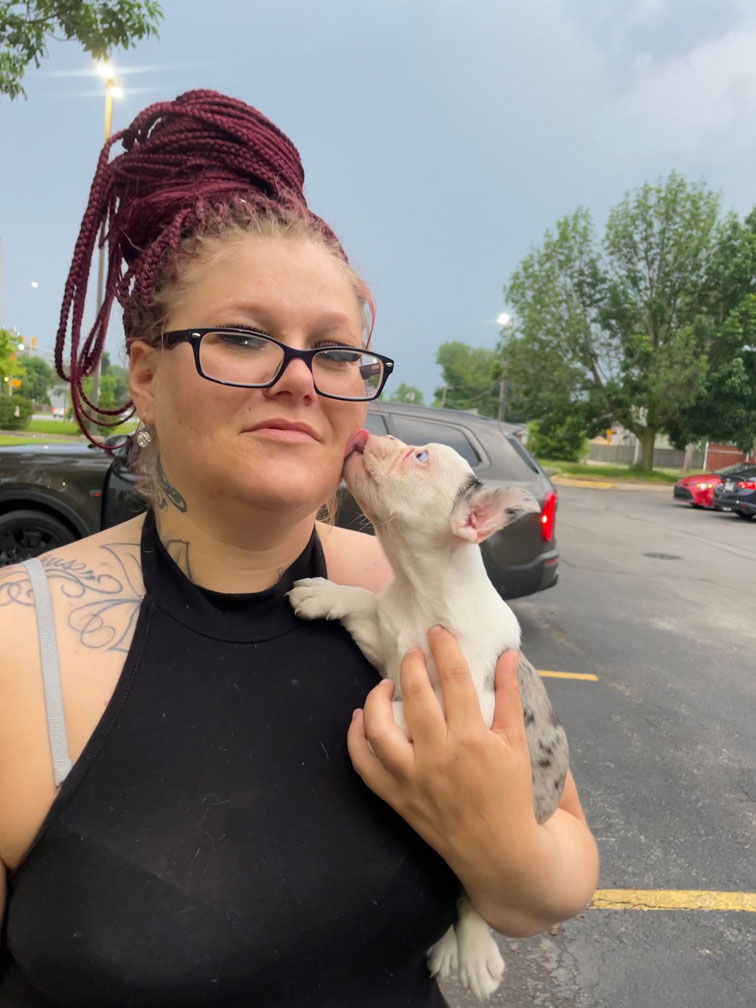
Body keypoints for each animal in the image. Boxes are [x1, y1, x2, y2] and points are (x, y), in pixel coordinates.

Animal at [288, 429, 569, 1000]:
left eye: (419, 457)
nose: (368, 433)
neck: (421, 593)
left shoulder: (469, 709)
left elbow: (399, 709)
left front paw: (377, 720)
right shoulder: (384, 634)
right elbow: (362, 601)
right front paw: (324, 593)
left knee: (473, 896)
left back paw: (473, 953)